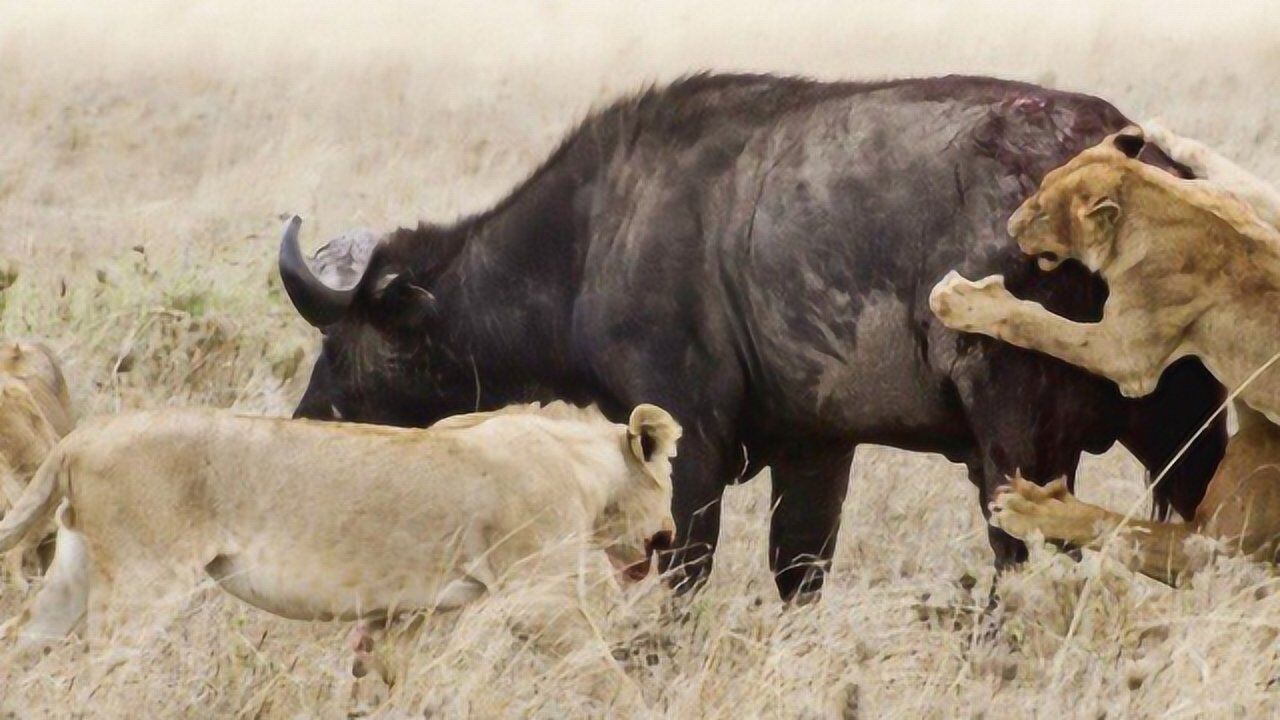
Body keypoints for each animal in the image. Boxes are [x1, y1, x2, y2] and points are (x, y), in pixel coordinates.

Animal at [282, 74, 1228, 599]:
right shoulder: (817, 450)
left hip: (1019, 443)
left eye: (355, 340)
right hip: (1186, 432)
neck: (591, 237)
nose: (312, 422)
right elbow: (798, 573)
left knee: (1028, 562)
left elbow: (682, 570)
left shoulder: (688, 444)